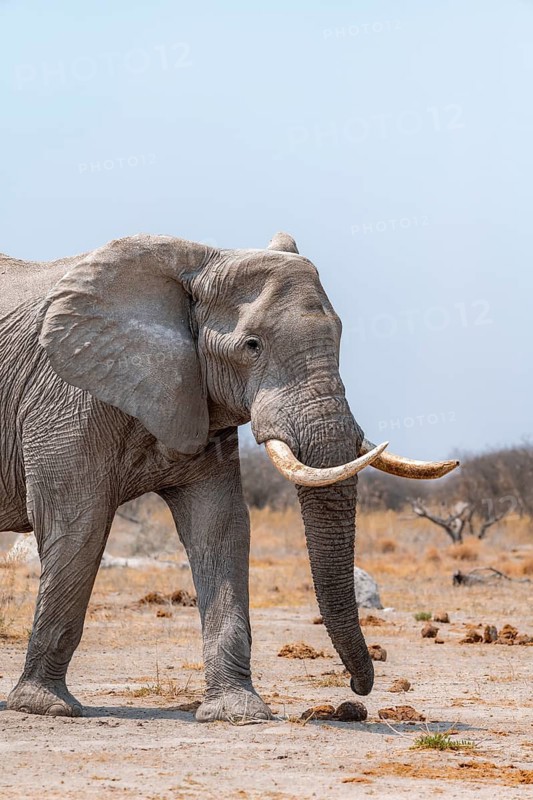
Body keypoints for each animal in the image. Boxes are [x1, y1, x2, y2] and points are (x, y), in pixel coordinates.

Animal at [0, 231, 458, 722]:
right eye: (252, 345)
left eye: (339, 336)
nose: (359, 689)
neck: (198, 265)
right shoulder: (66, 397)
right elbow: (76, 525)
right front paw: (45, 706)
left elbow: (220, 526)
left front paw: (238, 712)